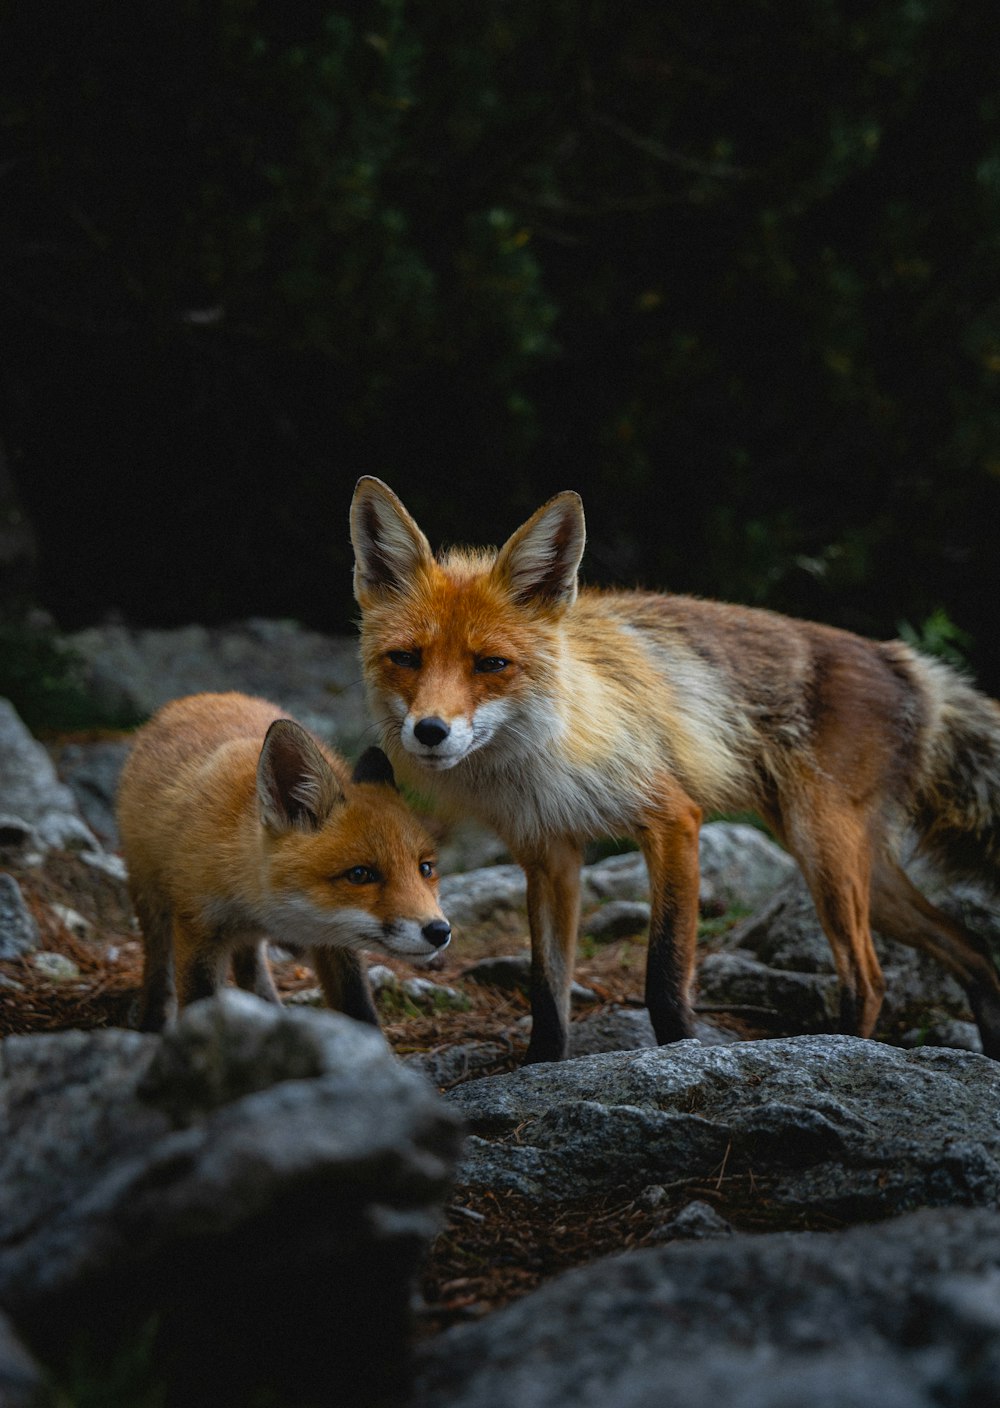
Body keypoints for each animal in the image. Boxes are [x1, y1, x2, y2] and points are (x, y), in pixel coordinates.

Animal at [115, 692, 453, 1036]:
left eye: (425, 869)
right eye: (360, 875)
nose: (439, 931)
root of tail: (198, 698)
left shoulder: (336, 942)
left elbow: (359, 1008)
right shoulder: (198, 928)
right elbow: (199, 1005)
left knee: (250, 968)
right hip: (152, 904)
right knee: (159, 968)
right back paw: (152, 1022)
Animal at [350, 473, 1000, 1058]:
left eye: (491, 664)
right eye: (406, 658)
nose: (430, 731)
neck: (538, 759)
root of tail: (899, 657)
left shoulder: (673, 820)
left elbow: (663, 976)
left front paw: (682, 1053)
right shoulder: (549, 853)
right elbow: (547, 990)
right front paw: (539, 1067)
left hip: (824, 851)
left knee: (870, 979)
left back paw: (842, 1048)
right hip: (857, 868)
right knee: (972, 949)